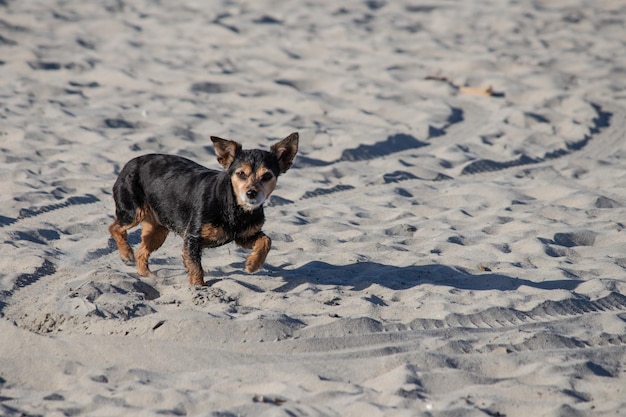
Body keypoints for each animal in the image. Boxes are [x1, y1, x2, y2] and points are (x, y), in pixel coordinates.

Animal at [108, 132, 298, 284]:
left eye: (267, 176)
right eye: (241, 174)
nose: (251, 193)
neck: (233, 207)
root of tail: (130, 163)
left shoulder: (244, 236)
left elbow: (266, 240)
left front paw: (253, 264)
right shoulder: (192, 238)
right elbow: (196, 268)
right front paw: (199, 288)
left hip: (158, 229)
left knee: (141, 251)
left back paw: (148, 276)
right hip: (133, 212)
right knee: (114, 228)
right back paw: (126, 254)